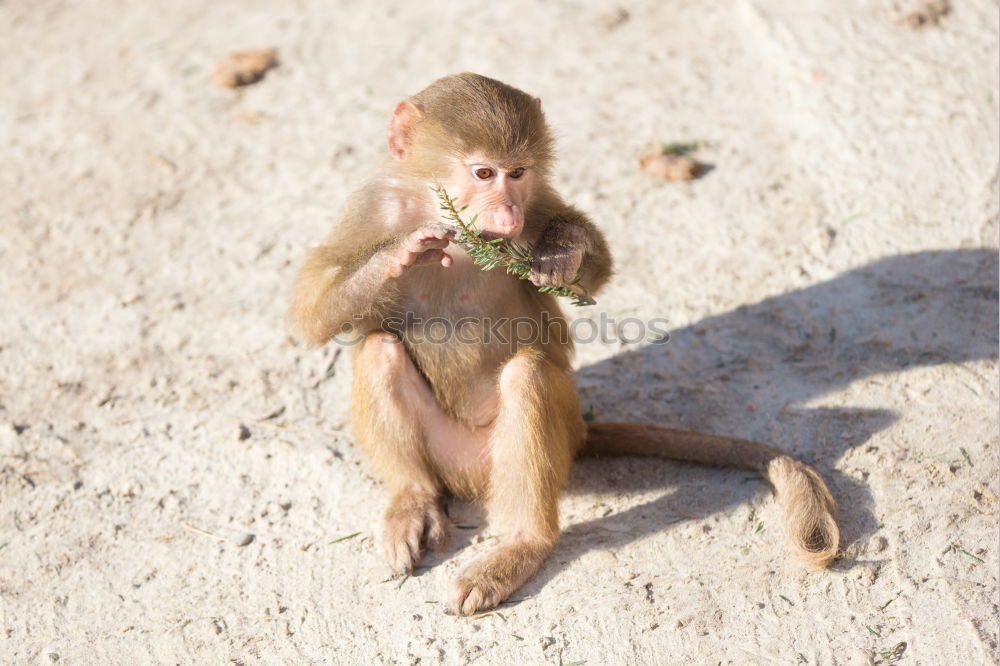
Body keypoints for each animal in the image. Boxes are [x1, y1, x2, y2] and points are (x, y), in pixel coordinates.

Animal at [290, 72, 836, 612]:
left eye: (518, 172)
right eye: (483, 173)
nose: (509, 217)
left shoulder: (539, 201)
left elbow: (591, 273)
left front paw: (562, 246)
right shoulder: (373, 207)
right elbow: (312, 315)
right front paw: (403, 253)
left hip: (508, 451)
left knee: (527, 377)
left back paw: (522, 545)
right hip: (446, 454)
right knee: (379, 350)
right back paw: (414, 498)